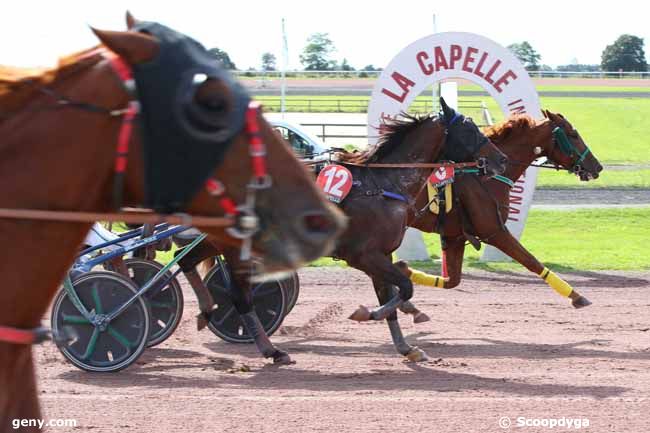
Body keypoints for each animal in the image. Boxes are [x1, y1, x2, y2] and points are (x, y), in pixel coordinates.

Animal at [176, 99, 506, 362]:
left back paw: (207, 309)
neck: (382, 185)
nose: (501, 159)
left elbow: (393, 296)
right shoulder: (363, 255)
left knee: (187, 259)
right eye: (470, 128)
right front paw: (366, 313)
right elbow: (403, 289)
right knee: (239, 295)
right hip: (235, 247)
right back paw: (272, 350)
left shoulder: (381, 255)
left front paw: (405, 347)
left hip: (220, 239)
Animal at [400, 110, 604, 308]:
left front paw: (404, 270)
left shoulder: (454, 236)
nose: (598, 167)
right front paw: (576, 296)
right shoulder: (494, 231)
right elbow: (531, 261)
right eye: (573, 134)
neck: (485, 176)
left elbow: (451, 280)